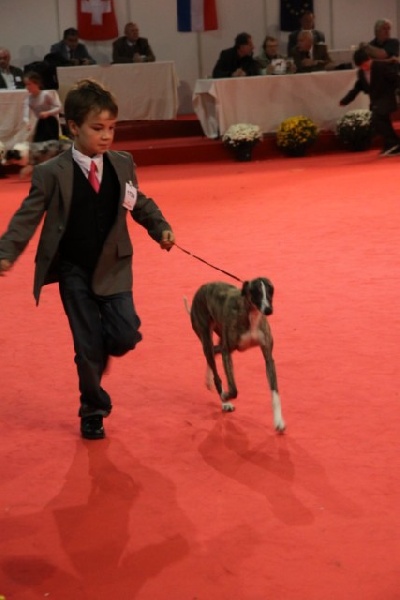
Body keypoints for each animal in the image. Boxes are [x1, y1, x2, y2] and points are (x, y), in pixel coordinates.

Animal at [185, 278, 285, 433]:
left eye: (271, 290)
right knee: (216, 372)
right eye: (255, 292)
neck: (252, 314)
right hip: (207, 337)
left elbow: (275, 391)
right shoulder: (227, 351)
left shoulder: (268, 356)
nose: (268, 310)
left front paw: (278, 421)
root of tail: (202, 288)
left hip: (220, 339)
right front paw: (225, 395)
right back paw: (224, 401)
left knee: (215, 352)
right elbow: (233, 389)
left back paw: (209, 380)